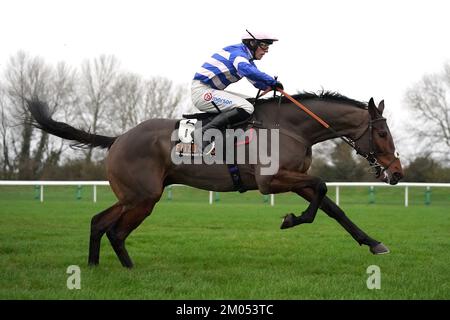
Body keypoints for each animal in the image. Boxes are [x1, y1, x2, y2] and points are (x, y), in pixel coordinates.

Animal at [28, 90, 404, 268]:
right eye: (383, 133)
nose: (397, 173)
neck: (291, 127)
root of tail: (118, 138)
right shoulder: (273, 180)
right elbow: (323, 187)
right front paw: (290, 219)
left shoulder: (296, 177)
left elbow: (333, 208)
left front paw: (374, 242)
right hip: (143, 197)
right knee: (116, 231)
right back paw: (129, 270)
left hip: (132, 196)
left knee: (99, 222)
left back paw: (95, 267)